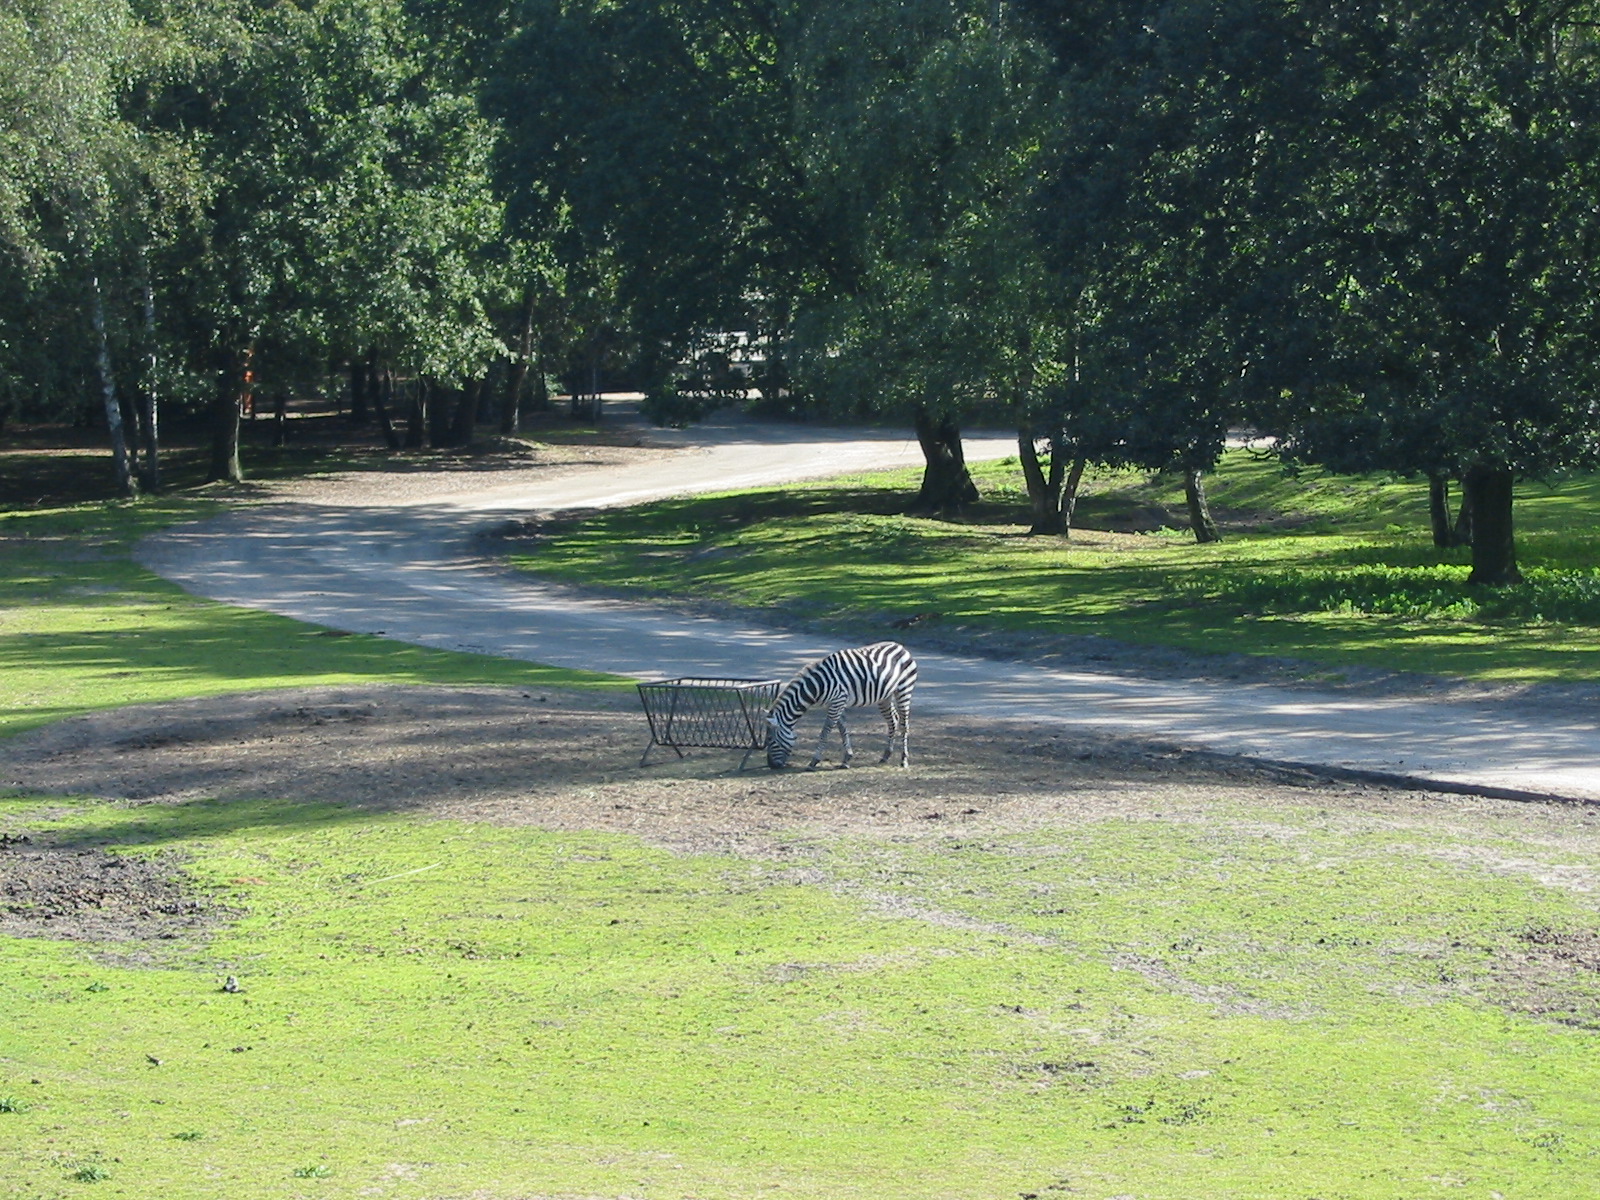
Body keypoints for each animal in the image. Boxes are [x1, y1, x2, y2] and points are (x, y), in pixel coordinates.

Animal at [766, 641, 917, 770]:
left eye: (770, 740)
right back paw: (886, 756)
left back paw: (904, 760)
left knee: (904, 724)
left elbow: (825, 732)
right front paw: (846, 759)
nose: (772, 765)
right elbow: (843, 729)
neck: (818, 685)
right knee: (893, 720)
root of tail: (900, 647)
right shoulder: (835, 704)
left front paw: (814, 761)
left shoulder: (838, 702)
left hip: (904, 690)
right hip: (885, 696)